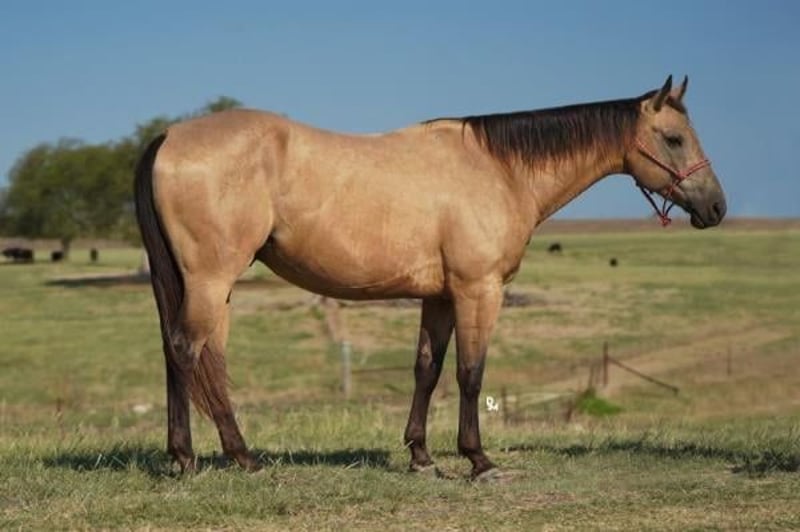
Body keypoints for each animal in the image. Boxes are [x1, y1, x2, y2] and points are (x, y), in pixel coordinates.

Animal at [134, 75, 726, 480]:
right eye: (674, 138)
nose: (717, 207)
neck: (498, 169)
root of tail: (168, 136)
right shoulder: (478, 290)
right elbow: (470, 373)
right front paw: (479, 460)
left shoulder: (438, 297)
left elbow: (427, 368)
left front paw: (420, 456)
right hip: (211, 279)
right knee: (185, 351)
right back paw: (186, 458)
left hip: (215, 288)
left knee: (203, 360)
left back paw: (242, 456)